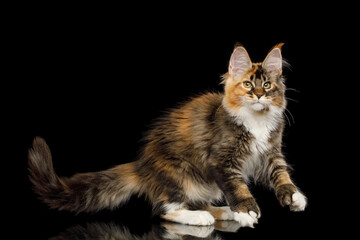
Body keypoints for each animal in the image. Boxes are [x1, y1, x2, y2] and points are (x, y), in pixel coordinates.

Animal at [28, 43, 306, 229]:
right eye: (248, 84)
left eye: (267, 85)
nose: (258, 95)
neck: (256, 119)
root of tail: (142, 166)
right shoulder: (222, 160)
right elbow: (237, 186)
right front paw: (246, 211)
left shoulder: (270, 154)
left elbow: (281, 175)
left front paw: (294, 197)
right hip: (180, 175)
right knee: (165, 209)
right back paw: (202, 217)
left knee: (192, 203)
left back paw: (223, 212)